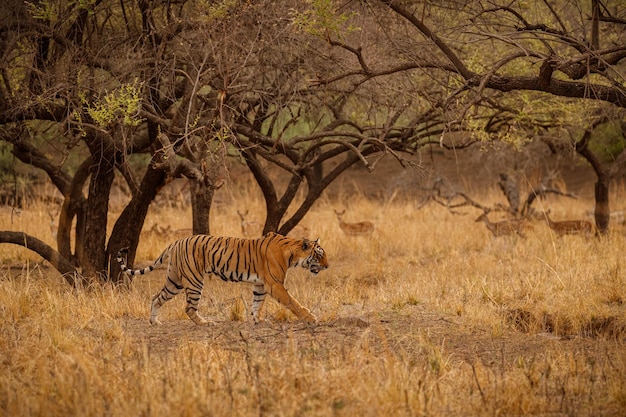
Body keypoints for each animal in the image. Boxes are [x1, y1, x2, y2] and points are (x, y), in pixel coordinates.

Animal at [118, 231, 332, 324]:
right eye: (319, 255)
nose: (328, 266)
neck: (292, 254)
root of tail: (176, 242)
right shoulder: (274, 284)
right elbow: (293, 302)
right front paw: (310, 318)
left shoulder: (261, 285)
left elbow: (257, 303)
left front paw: (257, 321)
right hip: (194, 280)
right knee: (189, 307)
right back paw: (205, 323)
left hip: (174, 281)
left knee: (156, 298)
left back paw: (155, 322)